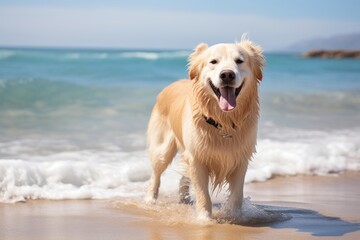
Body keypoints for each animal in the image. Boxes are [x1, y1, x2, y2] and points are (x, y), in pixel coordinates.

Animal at [146, 36, 264, 221]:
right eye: (213, 62)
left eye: (239, 61)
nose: (227, 74)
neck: (224, 123)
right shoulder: (197, 158)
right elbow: (203, 194)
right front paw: (204, 220)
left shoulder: (240, 159)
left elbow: (237, 196)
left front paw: (234, 217)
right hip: (162, 149)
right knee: (155, 174)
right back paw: (150, 199)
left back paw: (184, 198)